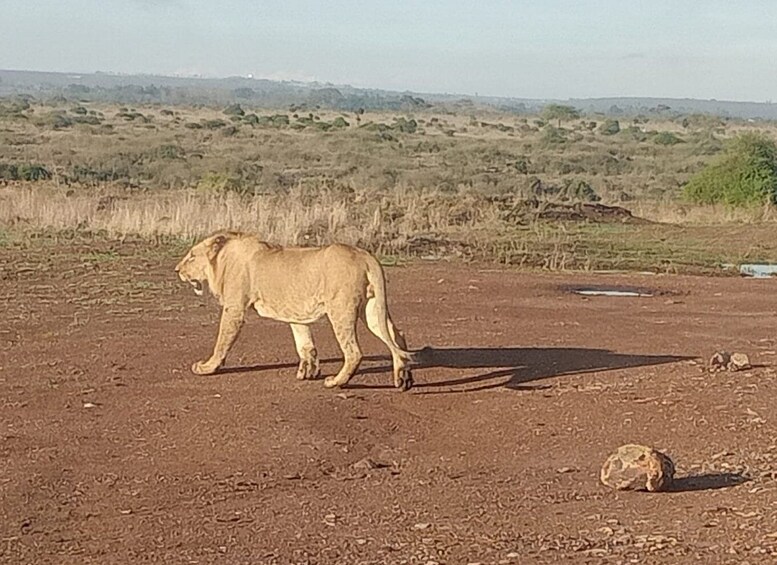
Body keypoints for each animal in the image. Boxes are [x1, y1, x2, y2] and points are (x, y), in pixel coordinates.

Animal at [175, 231, 416, 390]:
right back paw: (403, 378)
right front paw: (308, 371)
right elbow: (304, 342)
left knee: (354, 351)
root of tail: (365, 255)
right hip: (372, 308)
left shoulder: (234, 309)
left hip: (341, 308)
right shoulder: (295, 311)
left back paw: (336, 382)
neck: (222, 259)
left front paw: (207, 367)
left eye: (191, 256)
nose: (177, 270)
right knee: (397, 336)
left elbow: (222, 341)